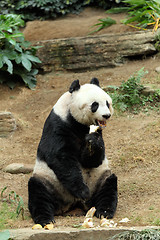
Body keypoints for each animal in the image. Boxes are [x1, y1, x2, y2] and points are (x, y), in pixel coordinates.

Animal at [27, 77, 117, 227]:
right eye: (95, 105)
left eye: (107, 103)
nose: (106, 115)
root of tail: (73, 204)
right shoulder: (58, 125)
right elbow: (61, 157)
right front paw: (82, 190)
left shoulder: (96, 131)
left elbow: (92, 160)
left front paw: (93, 141)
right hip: (48, 180)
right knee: (38, 193)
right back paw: (46, 219)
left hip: (100, 178)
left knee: (108, 186)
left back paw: (104, 211)